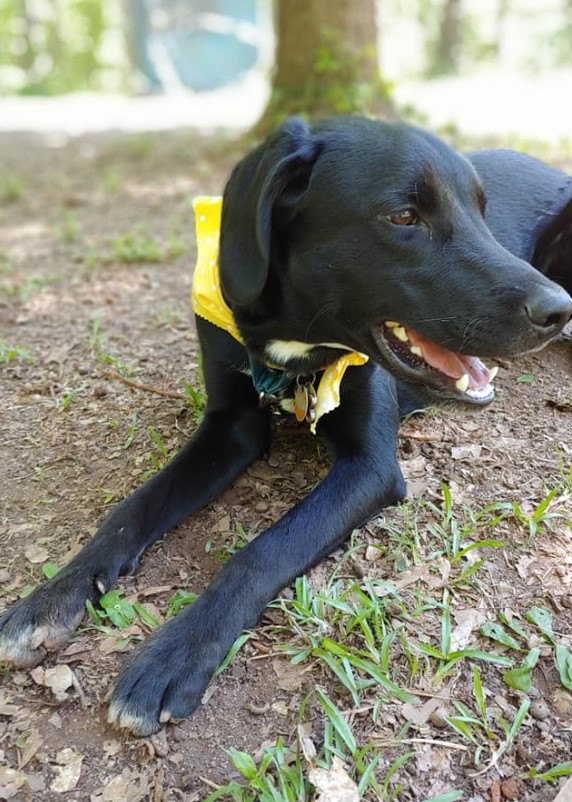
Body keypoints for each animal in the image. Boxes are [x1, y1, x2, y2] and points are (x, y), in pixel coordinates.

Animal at [1, 115, 572, 736]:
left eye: (481, 211)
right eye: (403, 216)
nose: (556, 307)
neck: (293, 344)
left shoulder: (370, 468)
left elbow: (261, 551)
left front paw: (175, 654)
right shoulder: (230, 428)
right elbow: (132, 509)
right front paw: (53, 596)